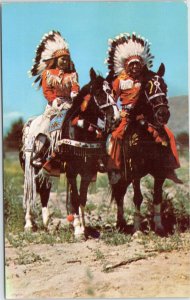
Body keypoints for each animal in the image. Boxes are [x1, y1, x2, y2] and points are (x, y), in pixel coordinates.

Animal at [19, 68, 120, 237]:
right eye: (99, 92)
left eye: (112, 91)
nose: (116, 119)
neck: (81, 129)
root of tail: (29, 124)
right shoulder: (71, 170)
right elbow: (74, 198)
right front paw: (78, 229)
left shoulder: (87, 171)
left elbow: (82, 198)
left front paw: (83, 227)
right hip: (30, 167)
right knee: (30, 191)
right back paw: (28, 223)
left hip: (46, 169)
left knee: (44, 191)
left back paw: (47, 224)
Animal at [110, 64, 182, 236]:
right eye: (147, 88)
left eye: (165, 86)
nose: (163, 114)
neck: (147, 135)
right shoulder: (135, 172)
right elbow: (137, 197)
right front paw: (137, 229)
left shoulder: (160, 172)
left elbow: (157, 197)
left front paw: (159, 227)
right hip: (120, 174)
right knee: (119, 194)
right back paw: (120, 224)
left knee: (121, 193)